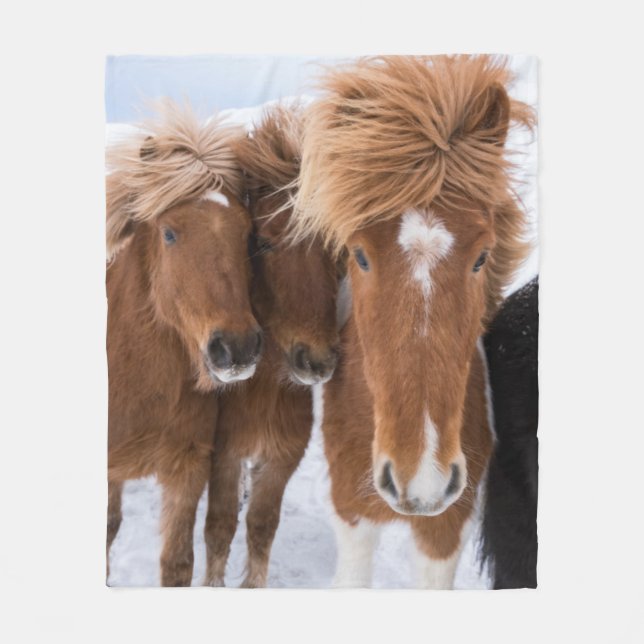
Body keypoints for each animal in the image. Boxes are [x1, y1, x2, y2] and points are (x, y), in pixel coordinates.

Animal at [203, 105, 340, 588]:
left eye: (335, 251)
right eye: (261, 241)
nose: (316, 361)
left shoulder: (282, 457)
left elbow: (262, 526)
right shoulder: (223, 454)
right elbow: (219, 527)